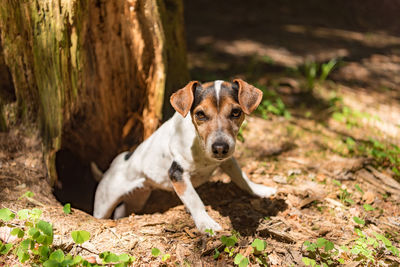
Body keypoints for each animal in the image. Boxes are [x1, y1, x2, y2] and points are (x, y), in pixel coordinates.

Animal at [93, 79, 278, 232]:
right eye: (200, 114)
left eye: (236, 112)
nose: (220, 148)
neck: (200, 147)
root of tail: (114, 164)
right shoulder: (177, 174)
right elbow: (194, 199)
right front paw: (206, 224)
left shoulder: (228, 161)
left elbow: (242, 178)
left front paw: (259, 189)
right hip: (104, 204)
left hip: (137, 200)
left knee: (121, 212)